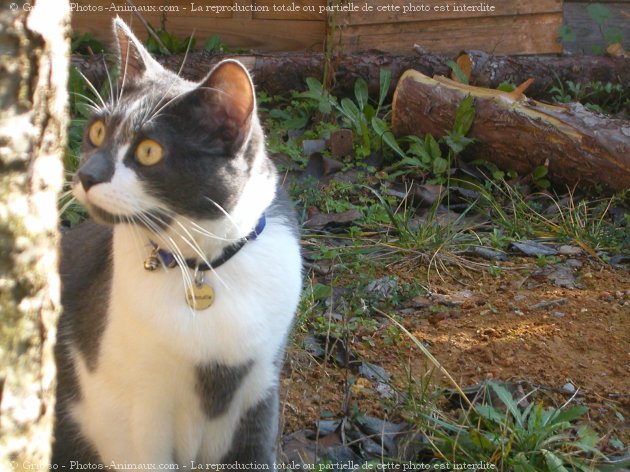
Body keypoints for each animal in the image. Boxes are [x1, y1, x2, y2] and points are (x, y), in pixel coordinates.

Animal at [51, 18, 304, 468]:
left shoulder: (260, 392)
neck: (201, 266)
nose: (87, 174)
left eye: (149, 151)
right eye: (97, 131)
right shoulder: (136, 418)